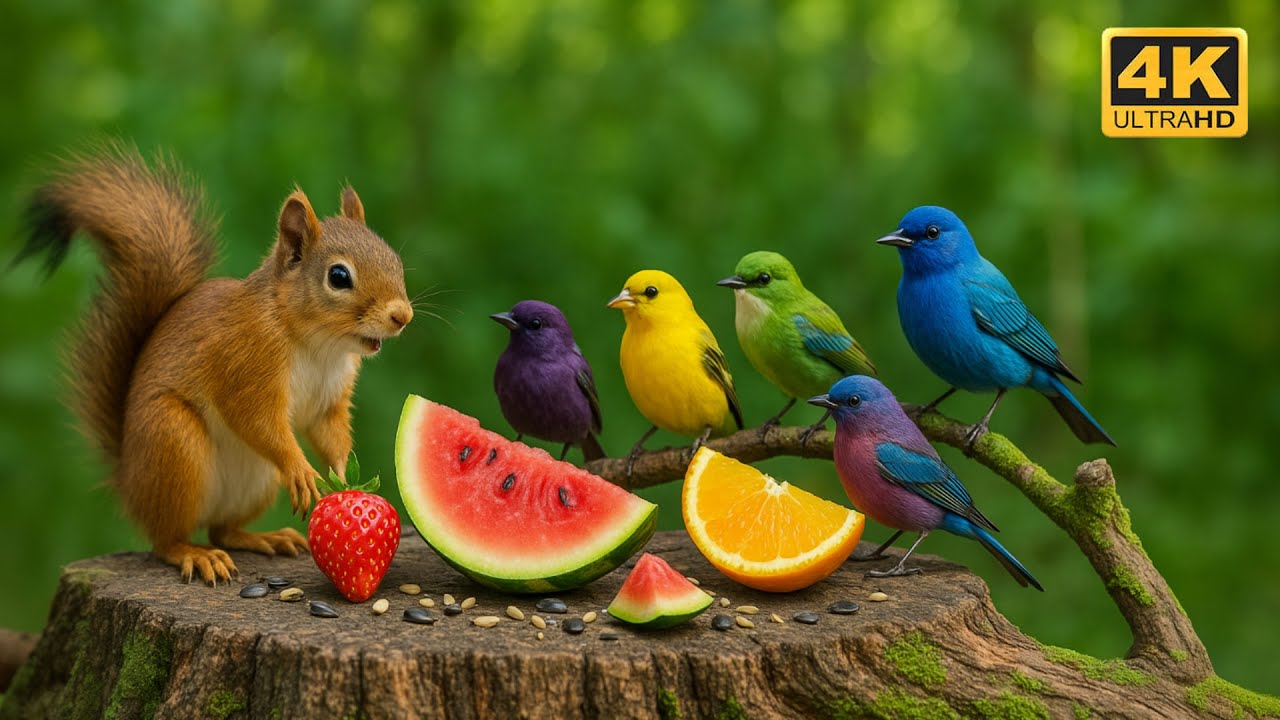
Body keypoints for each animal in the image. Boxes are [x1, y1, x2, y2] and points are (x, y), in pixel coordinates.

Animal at [16, 145, 413, 584]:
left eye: (394, 259)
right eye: (339, 276)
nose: (403, 316)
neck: (316, 343)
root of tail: (129, 481)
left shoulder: (331, 396)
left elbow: (329, 432)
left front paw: (343, 479)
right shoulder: (244, 362)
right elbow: (255, 419)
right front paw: (301, 470)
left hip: (255, 481)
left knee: (222, 530)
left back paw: (264, 537)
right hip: (173, 442)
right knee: (167, 538)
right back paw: (195, 554)